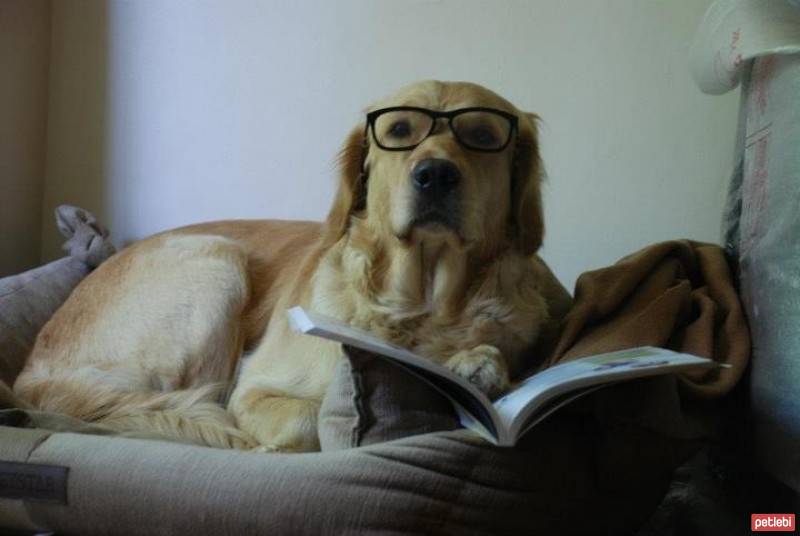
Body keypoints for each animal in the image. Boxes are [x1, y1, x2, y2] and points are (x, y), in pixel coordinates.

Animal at [15, 81, 572, 452]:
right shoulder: (251, 387)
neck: (421, 304)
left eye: (482, 135)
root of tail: (28, 374)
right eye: (398, 130)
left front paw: (478, 362)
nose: (435, 174)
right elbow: (306, 419)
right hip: (218, 261)